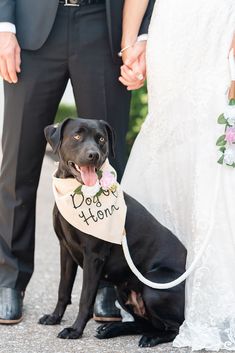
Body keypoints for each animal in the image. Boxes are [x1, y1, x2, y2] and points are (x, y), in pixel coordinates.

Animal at [39, 117, 186, 346]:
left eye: (101, 139)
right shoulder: (65, 249)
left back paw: (151, 338)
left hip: (154, 286)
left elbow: (85, 298)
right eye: (77, 135)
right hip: (122, 289)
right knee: (143, 323)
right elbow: (63, 289)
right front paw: (55, 317)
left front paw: (75, 330)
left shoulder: (94, 256)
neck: (76, 192)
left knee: (174, 328)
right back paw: (111, 329)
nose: (93, 155)